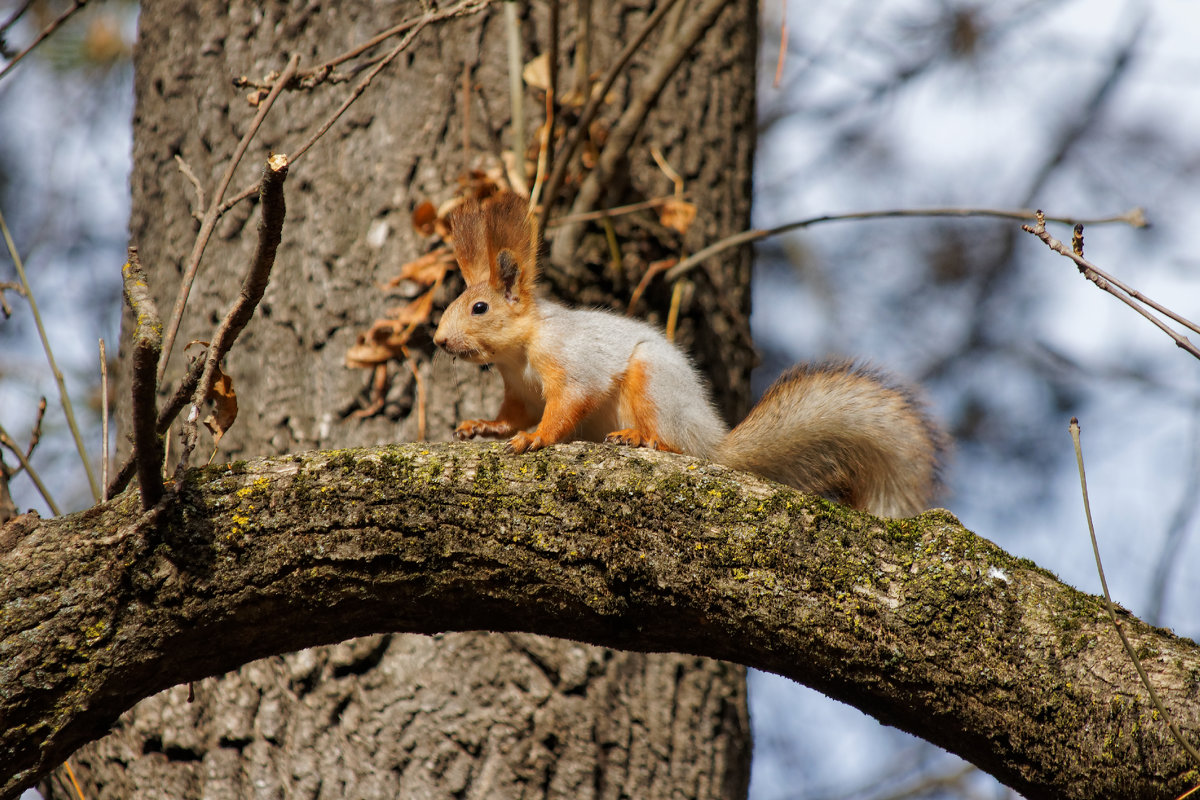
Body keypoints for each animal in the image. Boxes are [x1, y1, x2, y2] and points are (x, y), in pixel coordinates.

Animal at [434, 191, 945, 520]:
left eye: (479, 308)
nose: (438, 341)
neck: (518, 353)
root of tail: (713, 440)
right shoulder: (518, 390)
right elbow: (512, 414)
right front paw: (483, 426)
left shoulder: (571, 362)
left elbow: (569, 402)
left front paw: (536, 438)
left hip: (653, 384)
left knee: (677, 445)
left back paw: (643, 439)